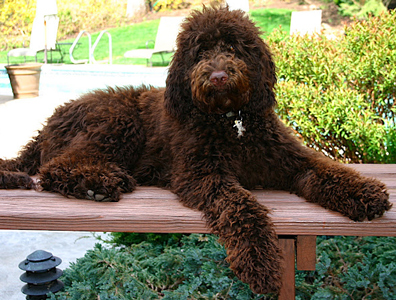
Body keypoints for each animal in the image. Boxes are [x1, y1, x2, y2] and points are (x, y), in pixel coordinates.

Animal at [0, 5, 390, 296]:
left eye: (233, 48)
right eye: (200, 52)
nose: (217, 75)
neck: (232, 123)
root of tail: (48, 124)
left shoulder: (291, 159)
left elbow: (328, 169)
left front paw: (365, 192)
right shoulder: (201, 174)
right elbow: (240, 205)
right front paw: (260, 261)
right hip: (115, 121)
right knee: (55, 168)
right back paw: (98, 183)